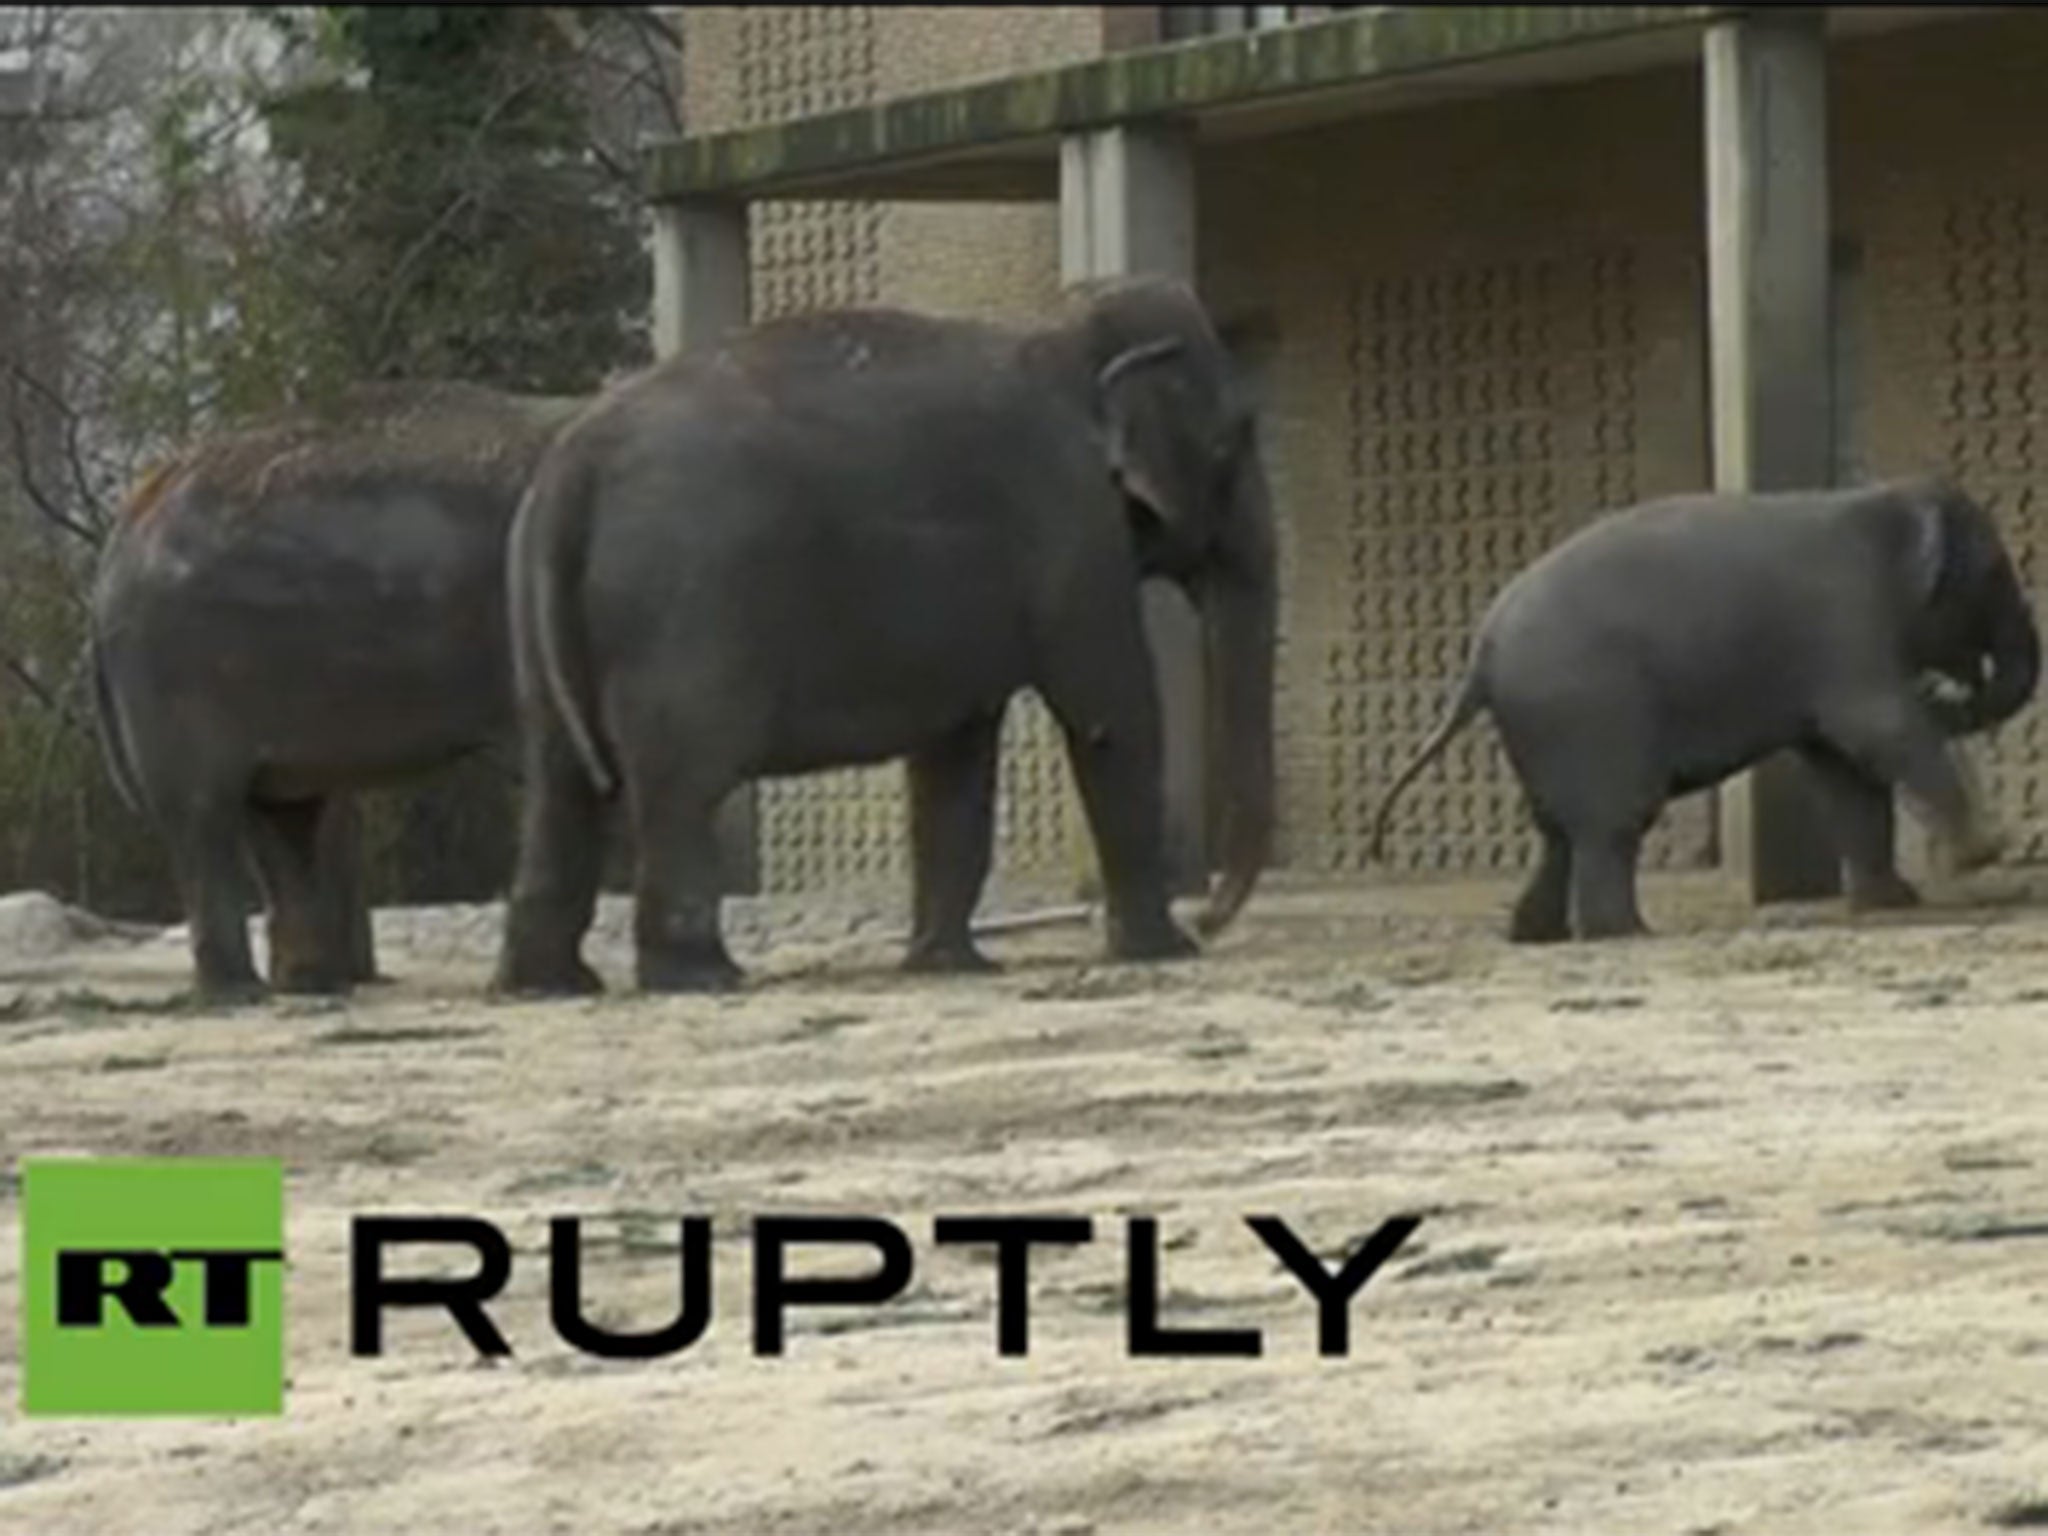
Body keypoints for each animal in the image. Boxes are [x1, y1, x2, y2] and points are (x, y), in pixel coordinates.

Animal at [89, 382, 585, 999]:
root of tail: (124, 529)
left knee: (285, 815)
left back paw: (312, 986)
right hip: (175, 674)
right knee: (205, 813)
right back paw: (242, 993)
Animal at [489, 276, 1269, 999]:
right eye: (1232, 440)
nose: (1209, 921)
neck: (1063, 326)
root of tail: (569, 470)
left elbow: (955, 752)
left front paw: (949, 965)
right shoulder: (1074, 520)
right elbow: (1110, 713)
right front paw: (1164, 951)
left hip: (541, 613)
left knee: (558, 781)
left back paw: (549, 985)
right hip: (683, 609)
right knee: (683, 781)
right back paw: (703, 977)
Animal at [1368, 479, 2039, 937]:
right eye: (1994, 574)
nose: (1944, 691)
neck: (1883, 497)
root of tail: (1481, 653)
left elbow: (1843, 769)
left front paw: (1893, 904)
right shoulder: (1847, 621)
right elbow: (1877, 731)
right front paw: (1981, 855)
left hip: (1543, 726)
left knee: (1560, 831)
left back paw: (1537, 936)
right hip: (1586, 713)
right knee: (1614, 821)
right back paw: (1626, 935)